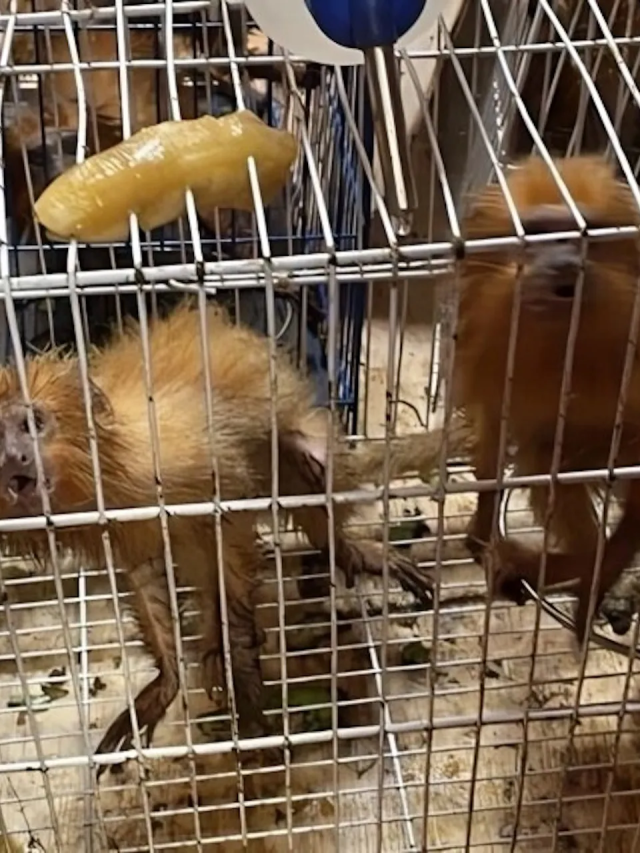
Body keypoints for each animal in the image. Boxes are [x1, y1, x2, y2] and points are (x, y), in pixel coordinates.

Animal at [0, 302, 468, 767]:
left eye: (33, 423)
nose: (13, 458)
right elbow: (147, 575)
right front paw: (169, 680)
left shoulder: (186, 459)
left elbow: (230, 531)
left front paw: (240, 669)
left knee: (304, 463)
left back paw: (345, 550)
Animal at [442, 154, 640, 642]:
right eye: (538, 235)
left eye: (580, 234)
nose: (564, 263)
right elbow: (493, 448)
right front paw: (481, 529)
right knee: (545, 452)